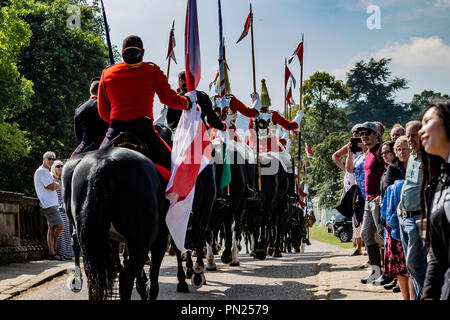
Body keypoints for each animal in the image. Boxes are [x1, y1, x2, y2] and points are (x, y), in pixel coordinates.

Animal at [62, 147, 169, 300]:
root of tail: (105, 162)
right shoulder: (160, 239)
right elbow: (152, 283)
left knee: (94, 280)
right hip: (142, 244)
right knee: (126, 277)